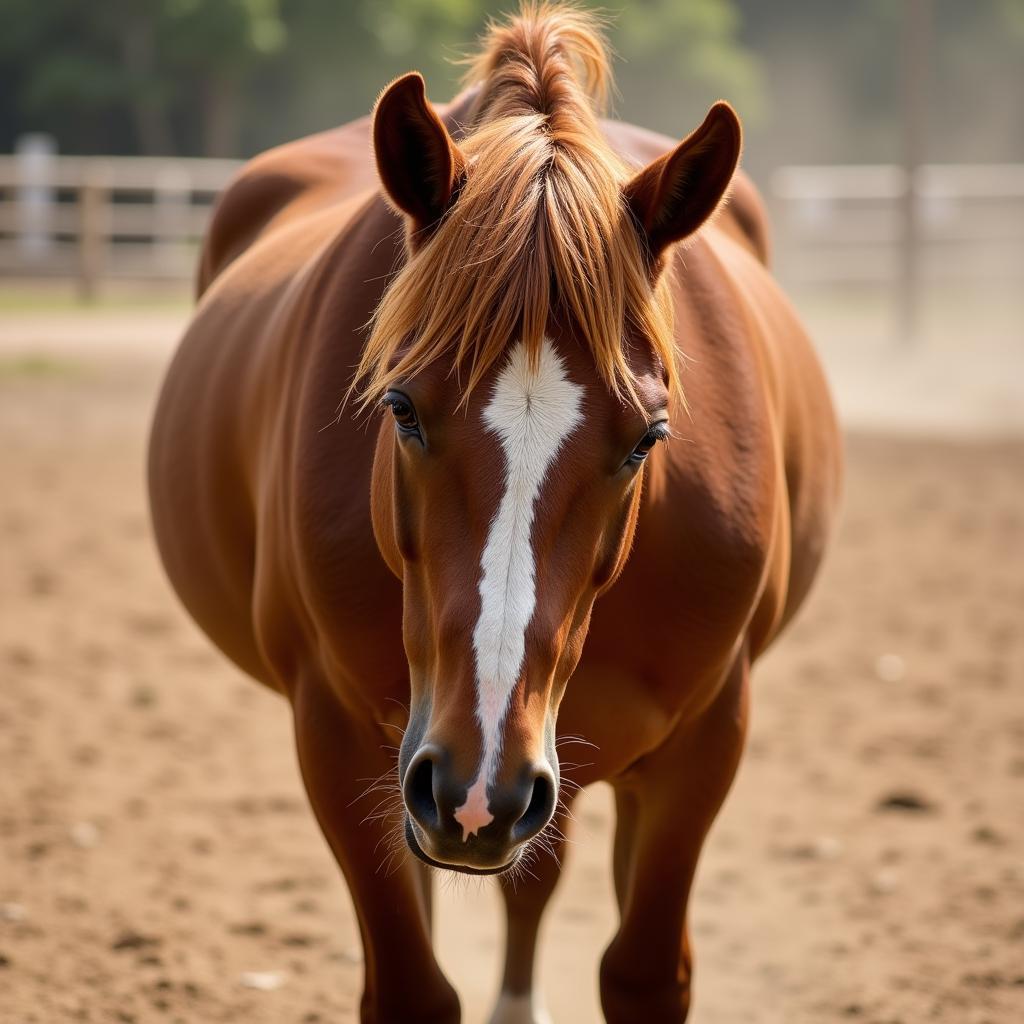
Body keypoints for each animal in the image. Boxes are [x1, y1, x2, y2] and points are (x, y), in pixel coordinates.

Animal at [149, 8, 839, 1024]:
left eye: (647, 439)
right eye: (400, 407)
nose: (476, 794)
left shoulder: (706, 738)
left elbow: (641, 972)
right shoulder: (341, 738)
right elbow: (412, 984)